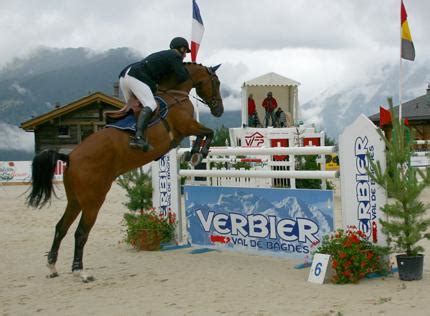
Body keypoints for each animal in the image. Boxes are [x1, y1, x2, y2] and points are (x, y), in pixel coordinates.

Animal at [26, 61, 225, 282]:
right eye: (216, 82)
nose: (219, 110)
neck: (176, 94)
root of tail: (70, 157)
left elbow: (205, 134)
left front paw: (195, 153)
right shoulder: (187, 125)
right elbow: (208, 132)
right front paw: (199, 153)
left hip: (75, 200)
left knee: (61, 227)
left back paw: (52, 267)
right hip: (93, 201)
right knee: (80, 232)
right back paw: (81, 271)